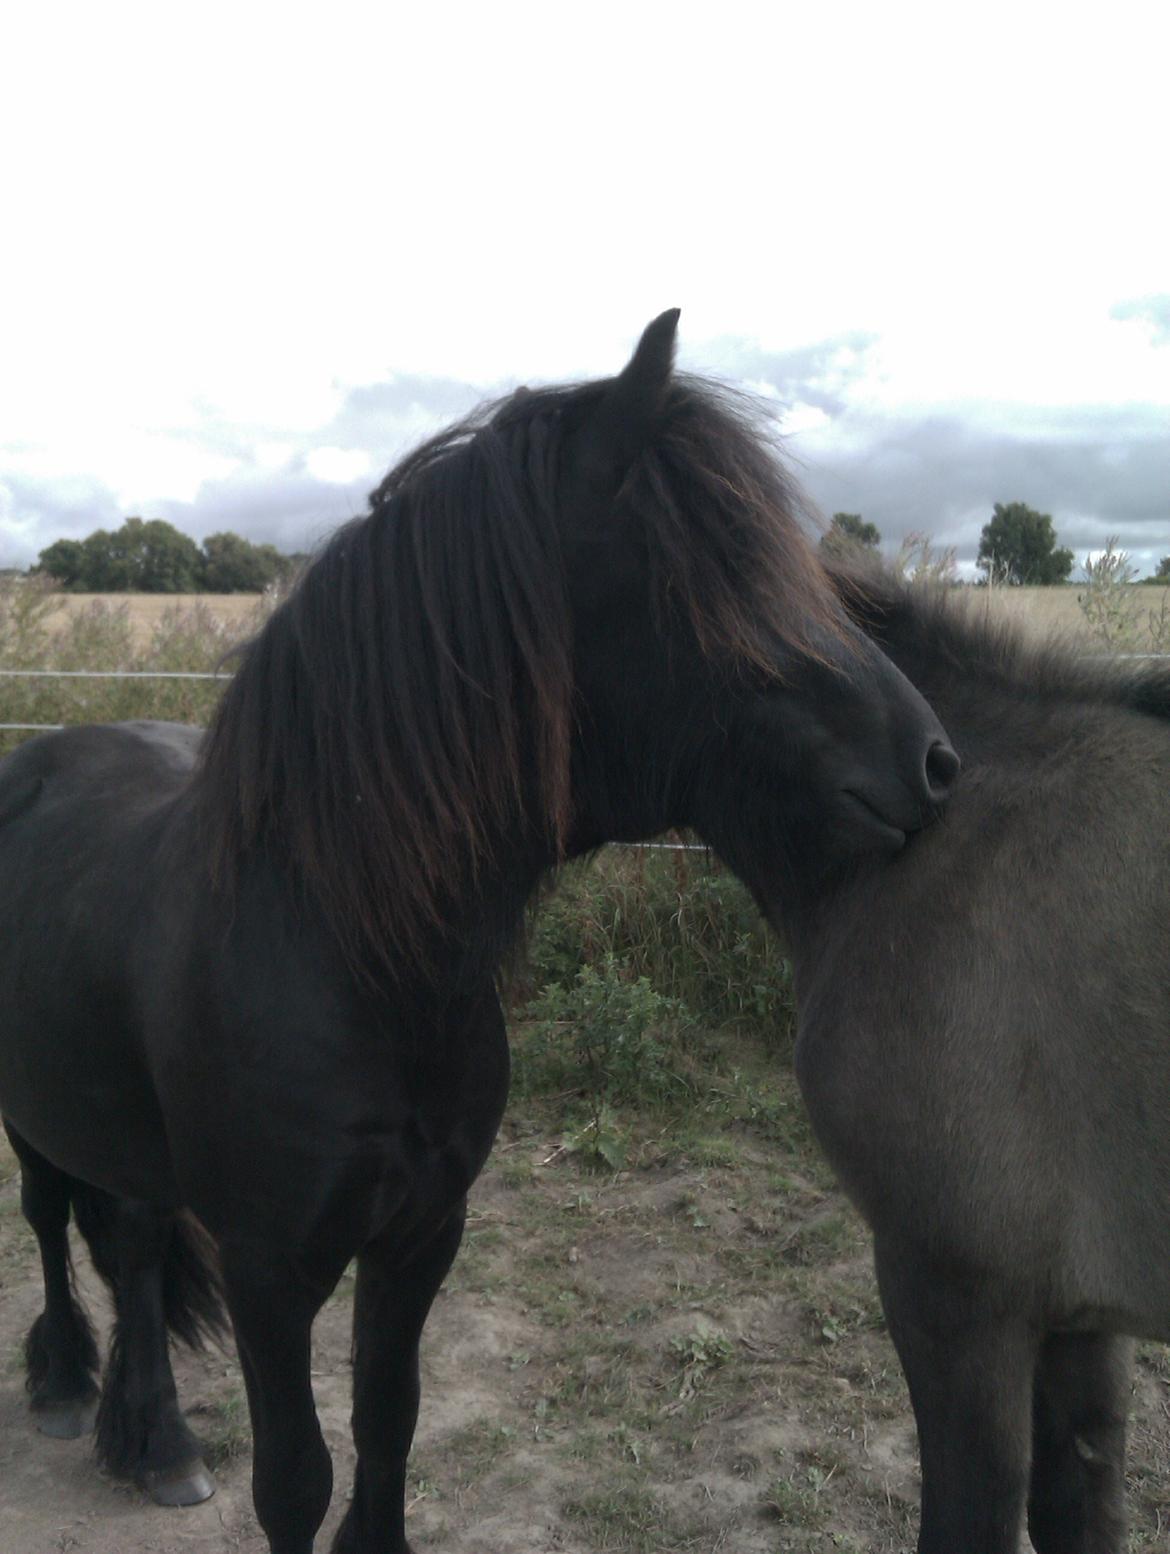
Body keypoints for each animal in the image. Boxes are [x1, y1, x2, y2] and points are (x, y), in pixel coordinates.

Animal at [0, 312, 958, 1554]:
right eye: (713, 574)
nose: (934, 764)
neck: (352, 960)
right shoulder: (271, 1272)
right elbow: (294, 1477)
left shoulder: (420, 1235)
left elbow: (388, 1423)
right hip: (30, 1115)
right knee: (51, 1223)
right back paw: (69, 1385)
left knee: (131, 1245)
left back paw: (154, 1435)